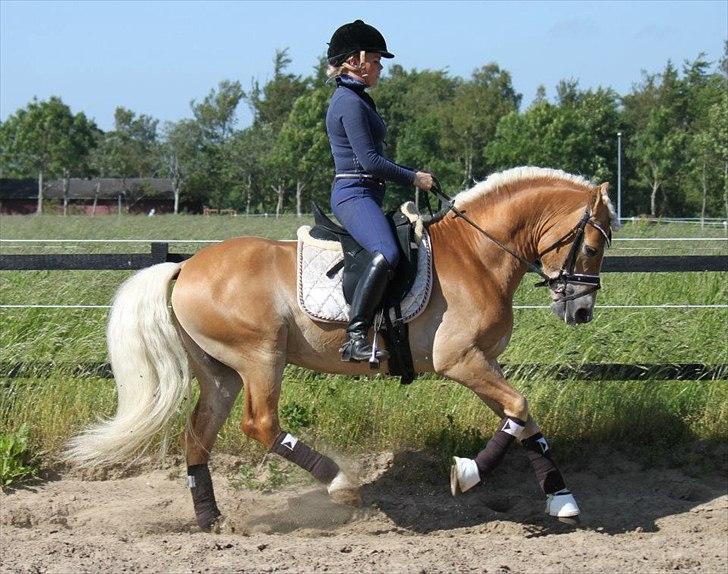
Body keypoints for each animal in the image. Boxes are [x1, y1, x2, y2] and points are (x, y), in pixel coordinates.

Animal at [65, 165, 616, 532]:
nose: (581, 311)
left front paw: (559, 498)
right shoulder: (460, 361)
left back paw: (211, 520)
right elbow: (520, 407)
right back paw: (340, 485)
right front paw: (470, 474)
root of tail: (184, 267)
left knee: (198, 435)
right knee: (259, 424)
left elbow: (522, 419)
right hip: (261, 359)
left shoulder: (485, 361)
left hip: (219, 372)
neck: (476, 254)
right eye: (592, 245)